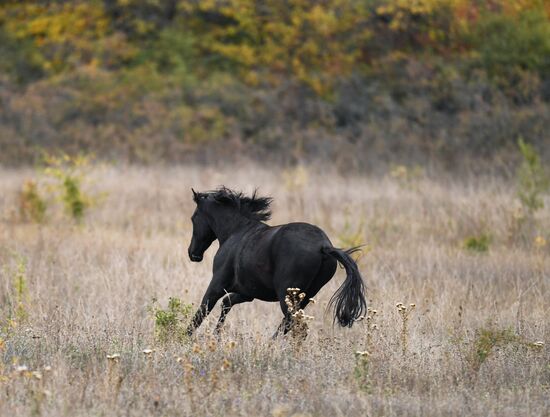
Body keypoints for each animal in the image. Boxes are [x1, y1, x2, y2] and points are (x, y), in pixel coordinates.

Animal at [185, 187, 366, 336]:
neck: (235, 231)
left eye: (194, 218)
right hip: (305, 297)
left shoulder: (217, 285)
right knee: (289, 325)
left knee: (296, 327)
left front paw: (185, 338)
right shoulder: (247, 292)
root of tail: (323, 246)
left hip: (287, 295)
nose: (192, 254)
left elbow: (201, 312)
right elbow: (226, 303)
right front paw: (216, 335)